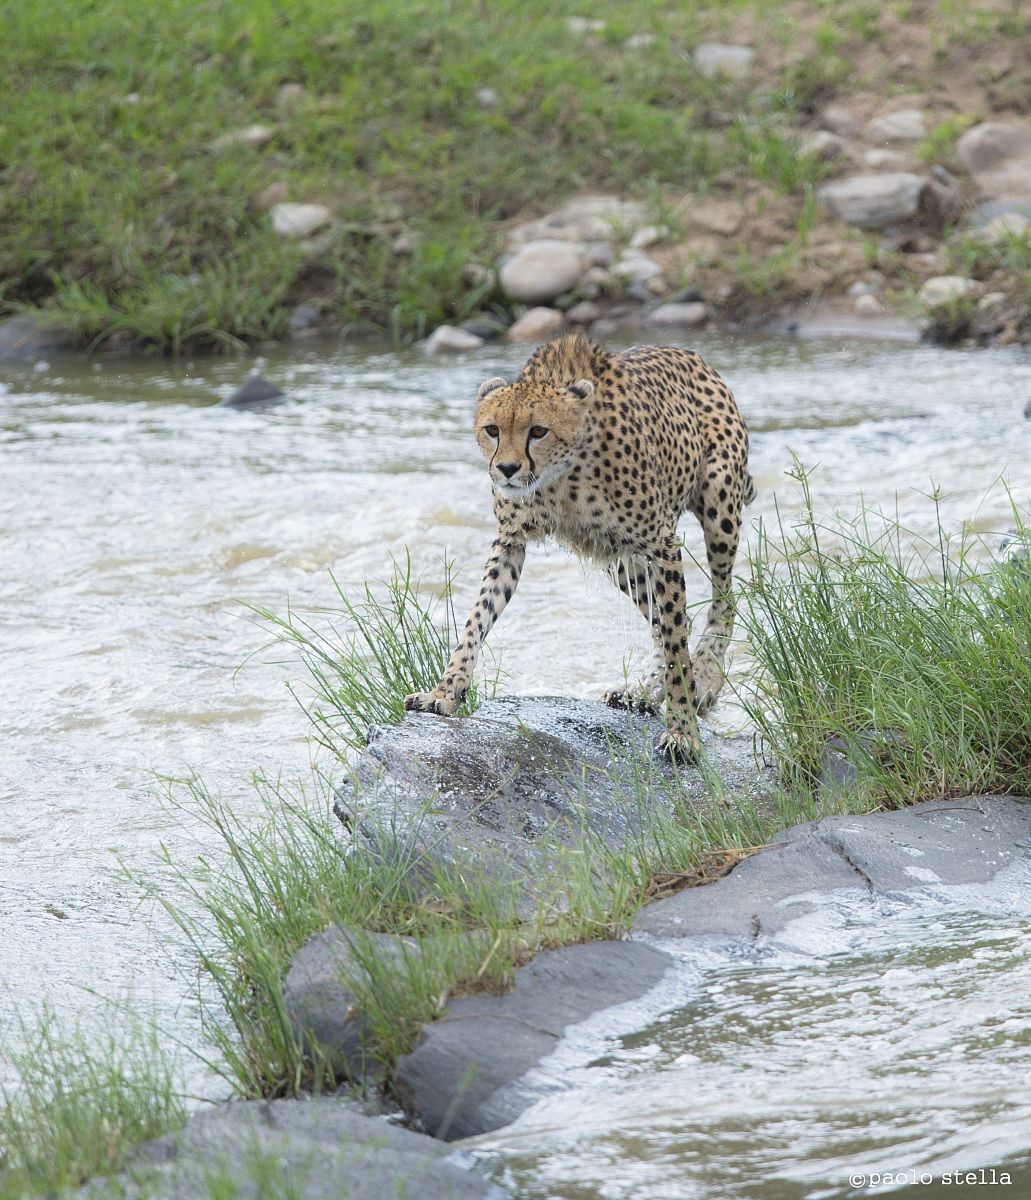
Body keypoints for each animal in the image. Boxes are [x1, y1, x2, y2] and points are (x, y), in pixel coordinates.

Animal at [404, 332, 754, 759]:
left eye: (538, 431)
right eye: (492, 430)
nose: (506, 469)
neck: (562, 478)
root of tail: (694, 356)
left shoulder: (661, 543)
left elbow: (676, 645)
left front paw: (683, 730)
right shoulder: (510, 541)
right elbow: (477, 618)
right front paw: (444, 692)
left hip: (719, 505)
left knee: (723, 600)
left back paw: (704, 679)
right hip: (620, 560)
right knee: (669, 618)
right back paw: (645, 691)